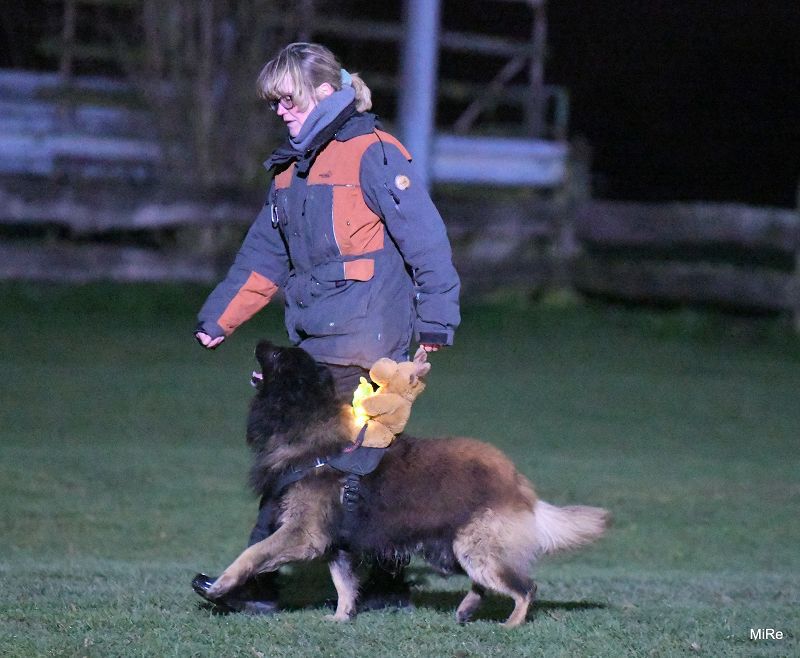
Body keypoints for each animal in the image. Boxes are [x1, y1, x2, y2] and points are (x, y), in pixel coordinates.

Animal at [205, 340, 609, 627]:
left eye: (275, 355)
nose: (259, 340)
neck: (308, 422)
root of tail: (517, 483)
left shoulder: (304, 534)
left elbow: (253, 554)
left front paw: (221, 585)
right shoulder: (336, 541)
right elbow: (343, 583)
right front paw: (341, 617)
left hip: (473, 548)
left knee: (526, 588)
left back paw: (511, 624)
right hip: (453, 550)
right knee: (486, 584)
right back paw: (466, 610)